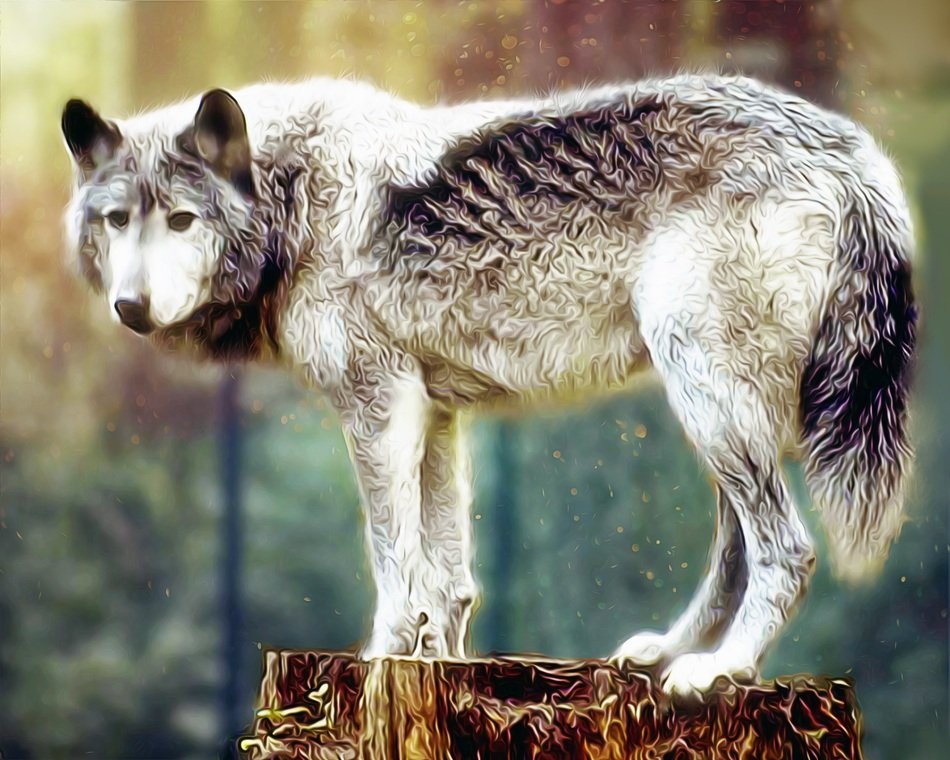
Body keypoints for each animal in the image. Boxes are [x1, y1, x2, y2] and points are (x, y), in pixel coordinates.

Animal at [61, 73, 916, 695]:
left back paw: (721, 672)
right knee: (736, 549)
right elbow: (448, 577)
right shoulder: (435, 414)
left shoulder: (379, 408)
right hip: (717, 412)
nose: (130, 308)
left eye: (181, 220)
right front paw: (440, 665)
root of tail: (857, 155)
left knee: (788, 549)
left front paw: (380, 659)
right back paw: (666, 653)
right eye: (116, 220)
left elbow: (393, 561)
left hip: (709, 400)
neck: (294, 200)